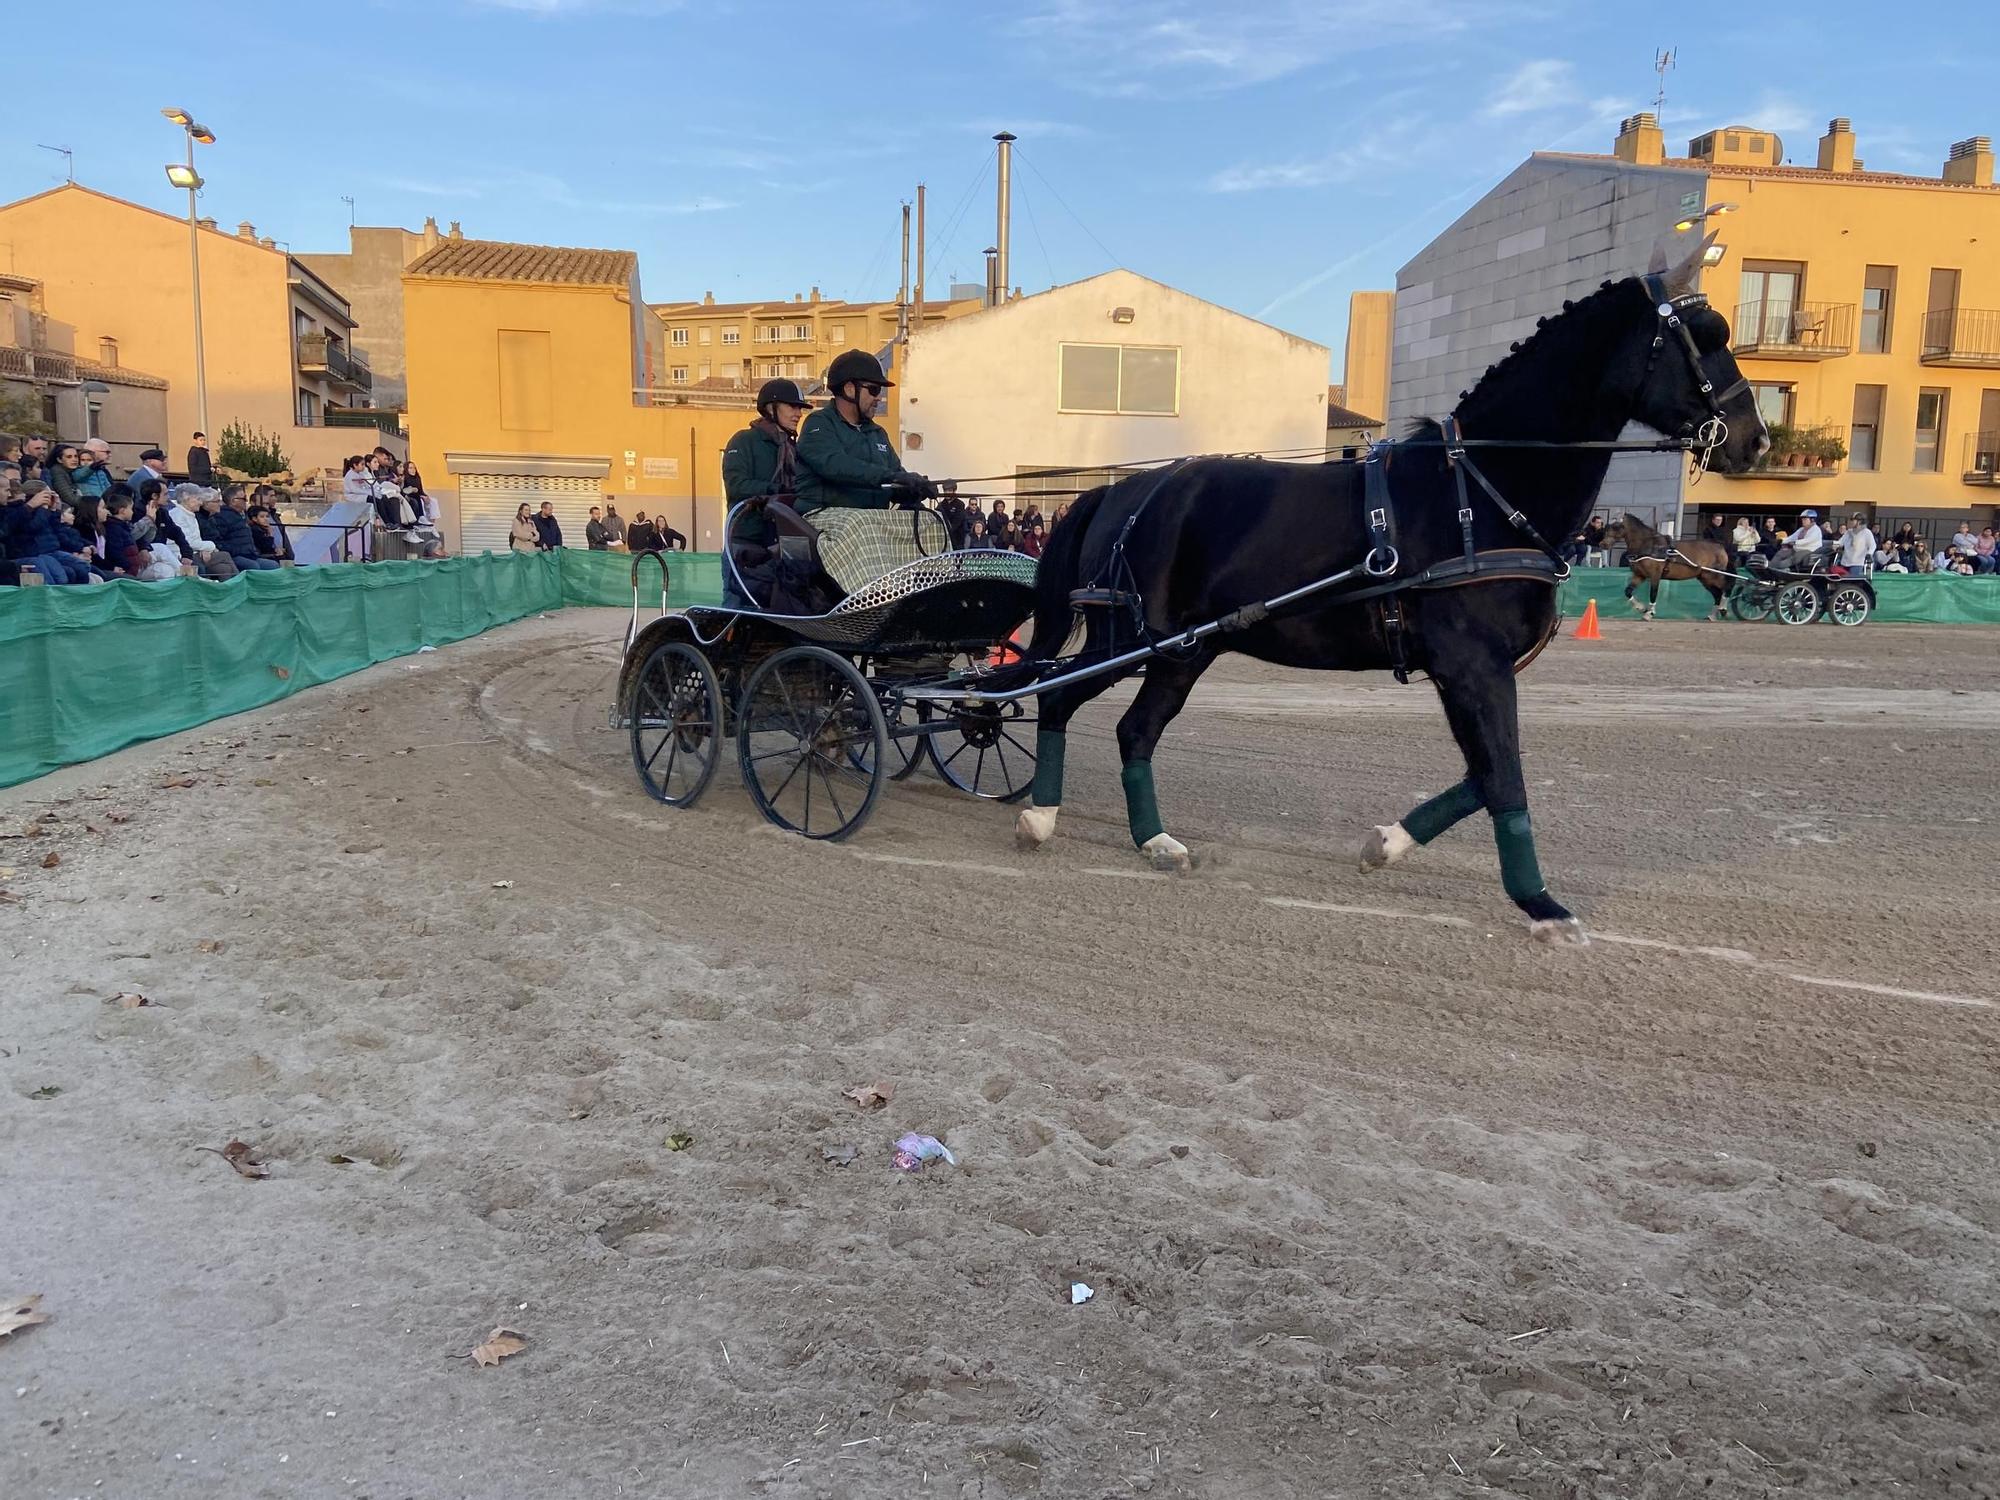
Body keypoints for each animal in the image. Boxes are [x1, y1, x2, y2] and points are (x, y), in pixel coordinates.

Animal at [1608, 512, 1736, 616]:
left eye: (1616, 526)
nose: (1604, 544)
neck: (1650, 545)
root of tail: (1720, 546)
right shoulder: (1640, 575)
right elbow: (1628, 591)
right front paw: (1641, 608)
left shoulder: (1655, 575)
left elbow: (1653, 593)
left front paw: (1650, 613)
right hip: (1704, 578)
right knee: (1717, 594)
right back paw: (1712, 615)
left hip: (1713, 575)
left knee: (1727, 587)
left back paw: (1723, 609)